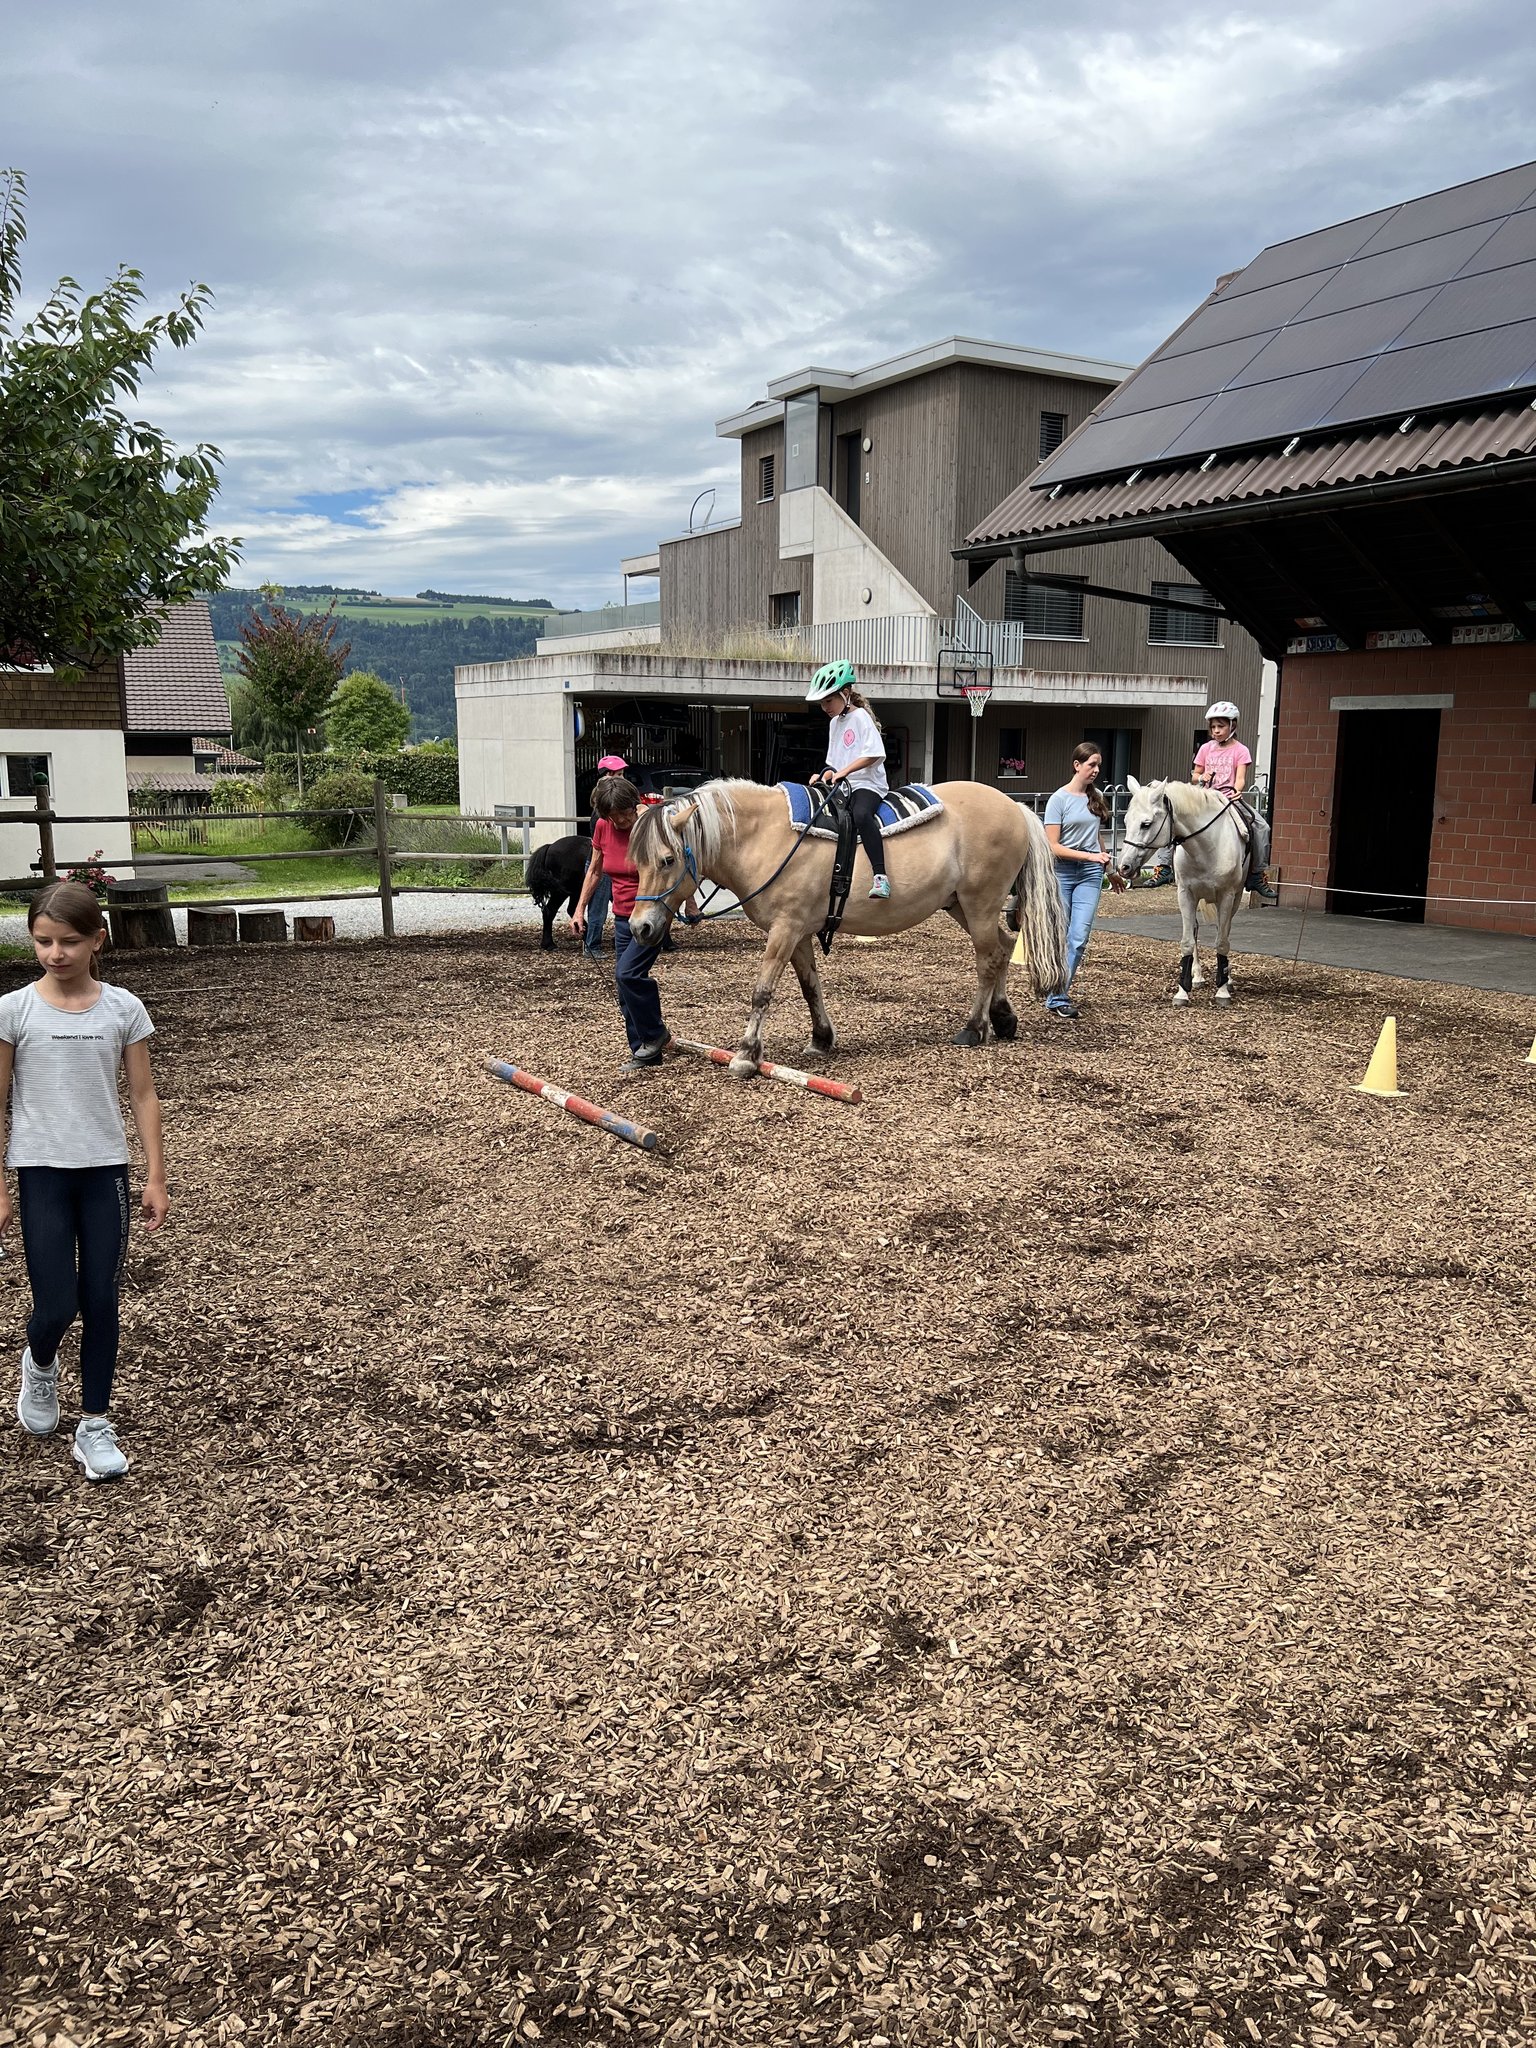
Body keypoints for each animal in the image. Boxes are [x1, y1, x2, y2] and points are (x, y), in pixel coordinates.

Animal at [628, 778, 1067, 1075]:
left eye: (667, 859)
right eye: (637, 861)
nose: (640, 928)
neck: (766, 837)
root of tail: (1016, 807)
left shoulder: (784, 930)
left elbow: (762, 991)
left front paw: (746, 1054)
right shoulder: (799, 933)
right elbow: (810, 988)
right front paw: (821, 1039)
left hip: (979, 904)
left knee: (988, 959)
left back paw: (974, 1028)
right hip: (961, 904)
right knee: (1004, 948)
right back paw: (1003, 1019)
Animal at [1113, 777, 1255, 1004]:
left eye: (1146, 824)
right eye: (1125, 822)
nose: (1124, 867)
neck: (1207, 846)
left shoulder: (1227, 895)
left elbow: (1222, 941)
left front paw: (1222, 990)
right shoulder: (1186, 894)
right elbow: (1187, 941)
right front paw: (1183, 991)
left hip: (1234, 896)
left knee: (1224, 930)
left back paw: (1228, 979)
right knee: (1197, 929)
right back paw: (1197, 977)